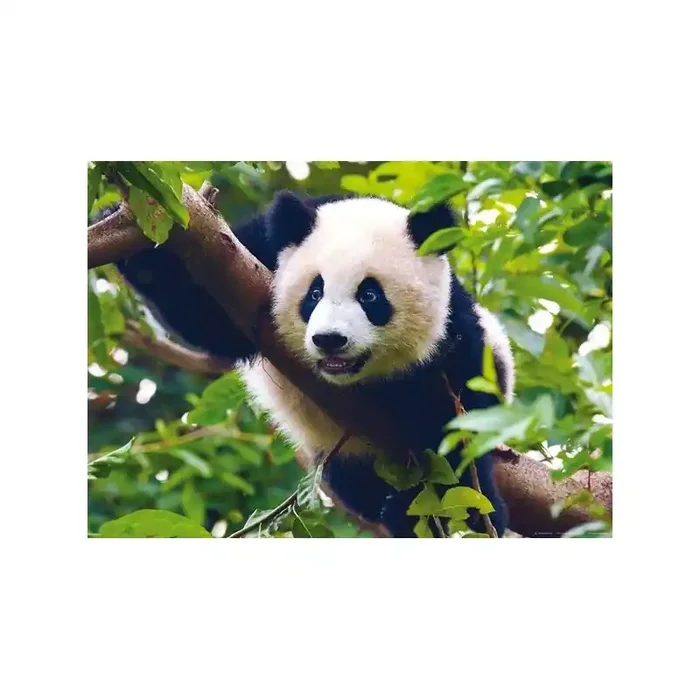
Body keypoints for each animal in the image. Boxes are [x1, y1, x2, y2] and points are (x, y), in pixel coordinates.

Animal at [116, 191, 515, 537]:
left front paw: (465, 506)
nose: (330, 340)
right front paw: (136, 242)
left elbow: (459, 417)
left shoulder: (452, 331)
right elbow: (207, 317)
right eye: (315, 292)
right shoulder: (255, 257)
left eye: (370, 295)